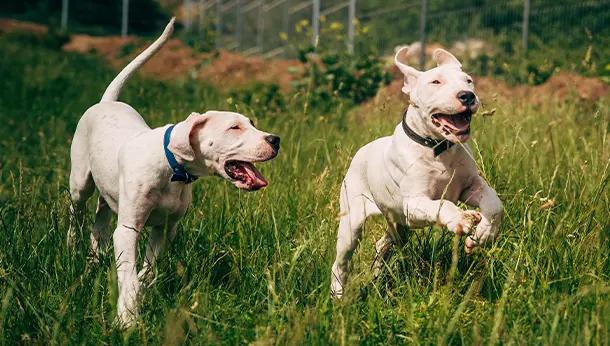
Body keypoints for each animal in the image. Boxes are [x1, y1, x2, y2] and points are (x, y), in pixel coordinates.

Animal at [67, 18, 280, 328]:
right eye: (235, 127)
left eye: (252, 123)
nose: (275, 139)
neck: (171, 169)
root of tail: (107, 102)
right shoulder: (129, 229)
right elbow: (129, 275)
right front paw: (127, 318)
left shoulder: (166, 229)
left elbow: (147, 271)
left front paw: (142, 295)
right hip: (80, 183)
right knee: (77, 213)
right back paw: (72, 250)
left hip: (107, 194)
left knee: (101, 218)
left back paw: (96, 257)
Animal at [330, 47, 502, 298]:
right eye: (435, 82)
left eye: (469, 81)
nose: (467, 96)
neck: (439, 149)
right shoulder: (414, 202)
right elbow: (442, 205)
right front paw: (461, 219)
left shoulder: (471, 186)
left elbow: (494, 203)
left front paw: (483, 234)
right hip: (352, 223)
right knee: (340, 261)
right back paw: (338, 295)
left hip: (399, 225)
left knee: (383, 244)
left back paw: (378, 276)